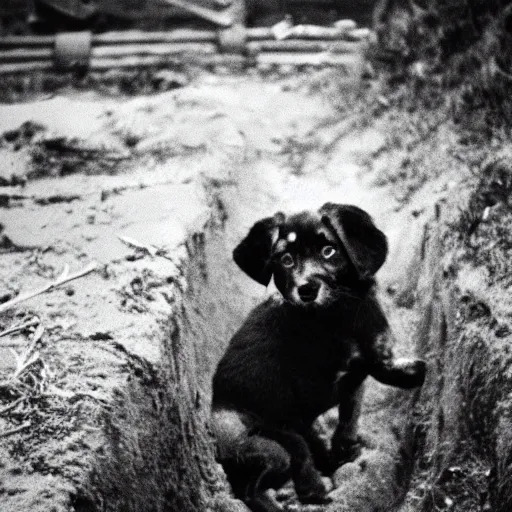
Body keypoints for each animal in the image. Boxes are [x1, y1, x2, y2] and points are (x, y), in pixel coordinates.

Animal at [210, 202, 426, 510]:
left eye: (328, 251)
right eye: (286, 259)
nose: (306, 289)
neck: (336, 317)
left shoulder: (355, 376)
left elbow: (352, 410)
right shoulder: (298, 405)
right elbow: (307, 442)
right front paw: (318, 479)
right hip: (266, 447)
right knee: (255, 486)